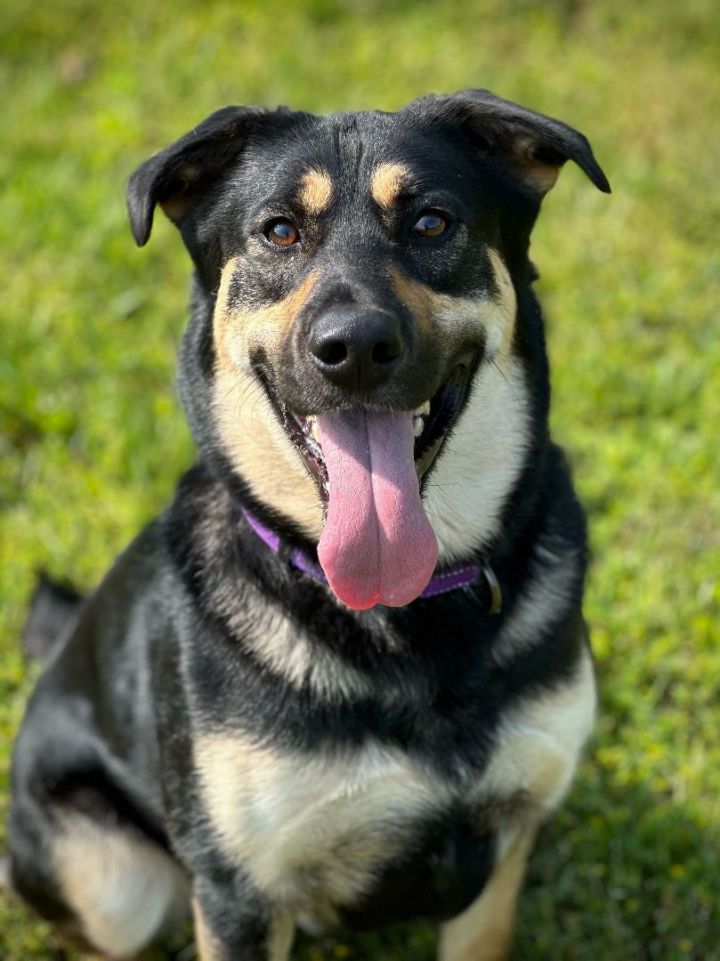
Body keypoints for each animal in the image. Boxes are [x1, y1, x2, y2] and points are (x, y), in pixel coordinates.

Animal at [8, 88, 612, 952]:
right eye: (279, 232)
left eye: (432, 223)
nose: (355, 346)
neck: (403, 618)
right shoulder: (239, 891)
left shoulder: (507, 839)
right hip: (108, 879)